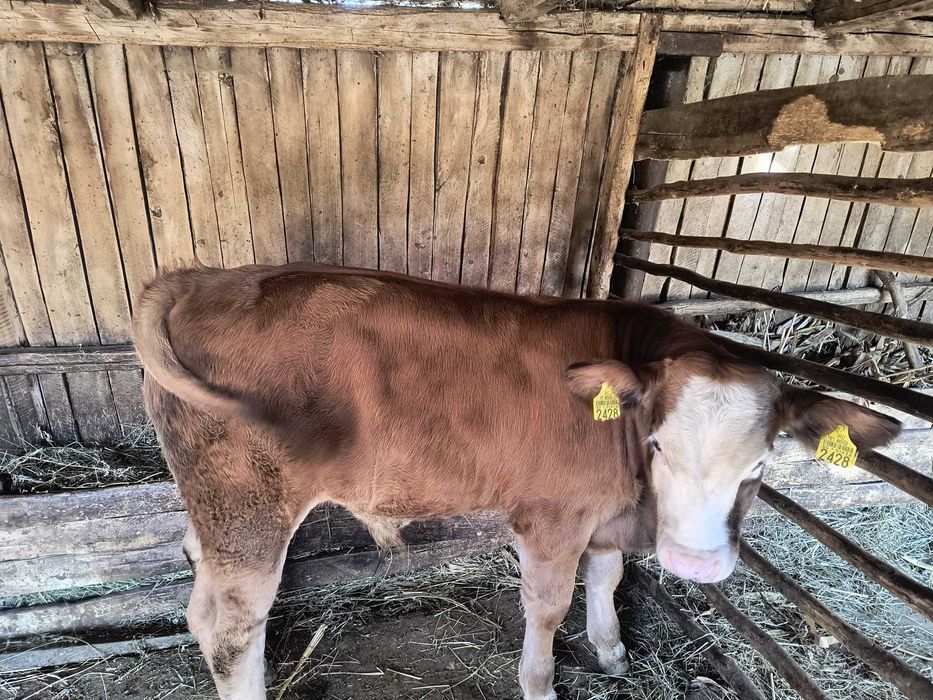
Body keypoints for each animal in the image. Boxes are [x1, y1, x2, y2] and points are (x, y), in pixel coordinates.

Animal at [133, 262, 900, 700]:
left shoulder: (602, 513)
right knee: (228, 626)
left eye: (761, 465)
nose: (694, 563)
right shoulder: (552, 516)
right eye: (657, 442)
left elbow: (607, 577)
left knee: (198, 578)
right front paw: (541, 685)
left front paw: (612, 649)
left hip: (214, 509)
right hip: (248, 506)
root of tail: (205, 278)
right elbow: (548, 607)